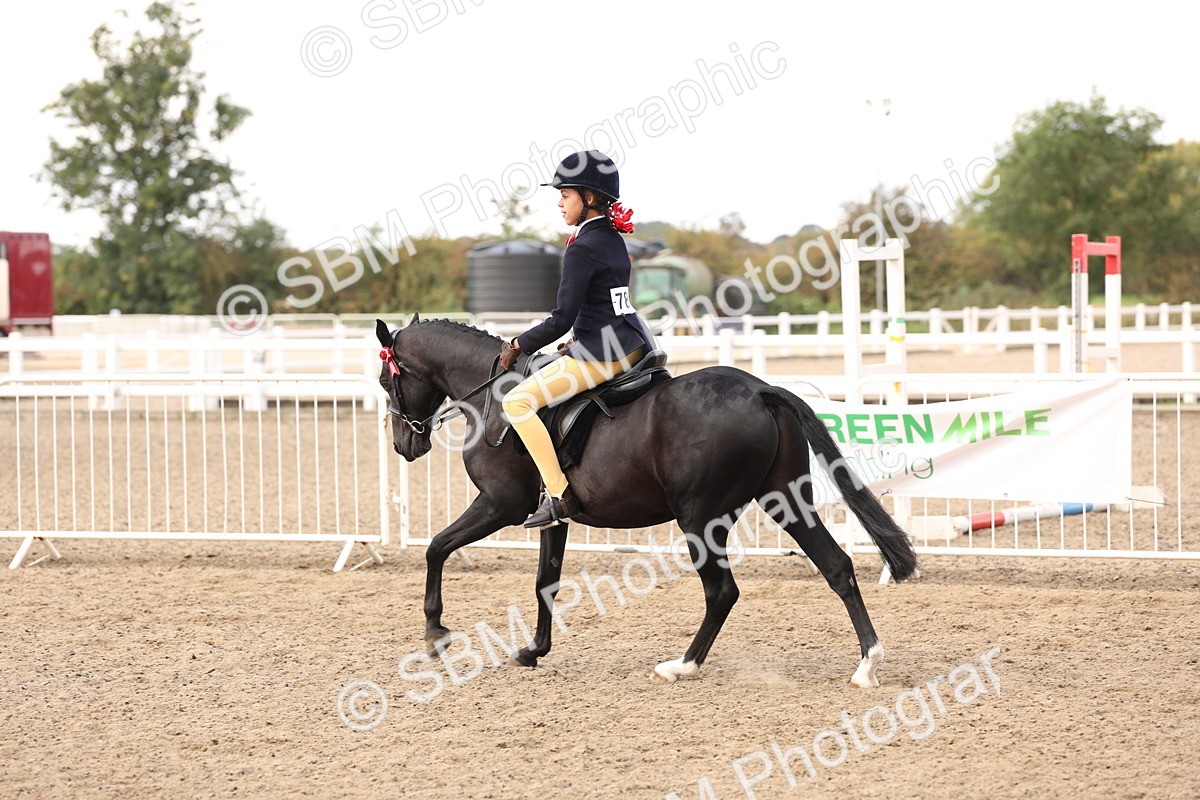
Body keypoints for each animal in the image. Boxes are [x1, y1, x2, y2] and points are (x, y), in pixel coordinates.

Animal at [375, 316, 917, 688]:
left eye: (386, 381)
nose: (404, 445)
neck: (492, 399)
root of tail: (761, 389)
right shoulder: (553, 516)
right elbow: (545, 582)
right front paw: (534, 650)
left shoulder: (499, 505)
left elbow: (436, 548)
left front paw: (435, 632)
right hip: (784, 500)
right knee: (837, 566)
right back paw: (867, 664)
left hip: (700, 517)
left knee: (722, 592)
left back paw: (682, 666)